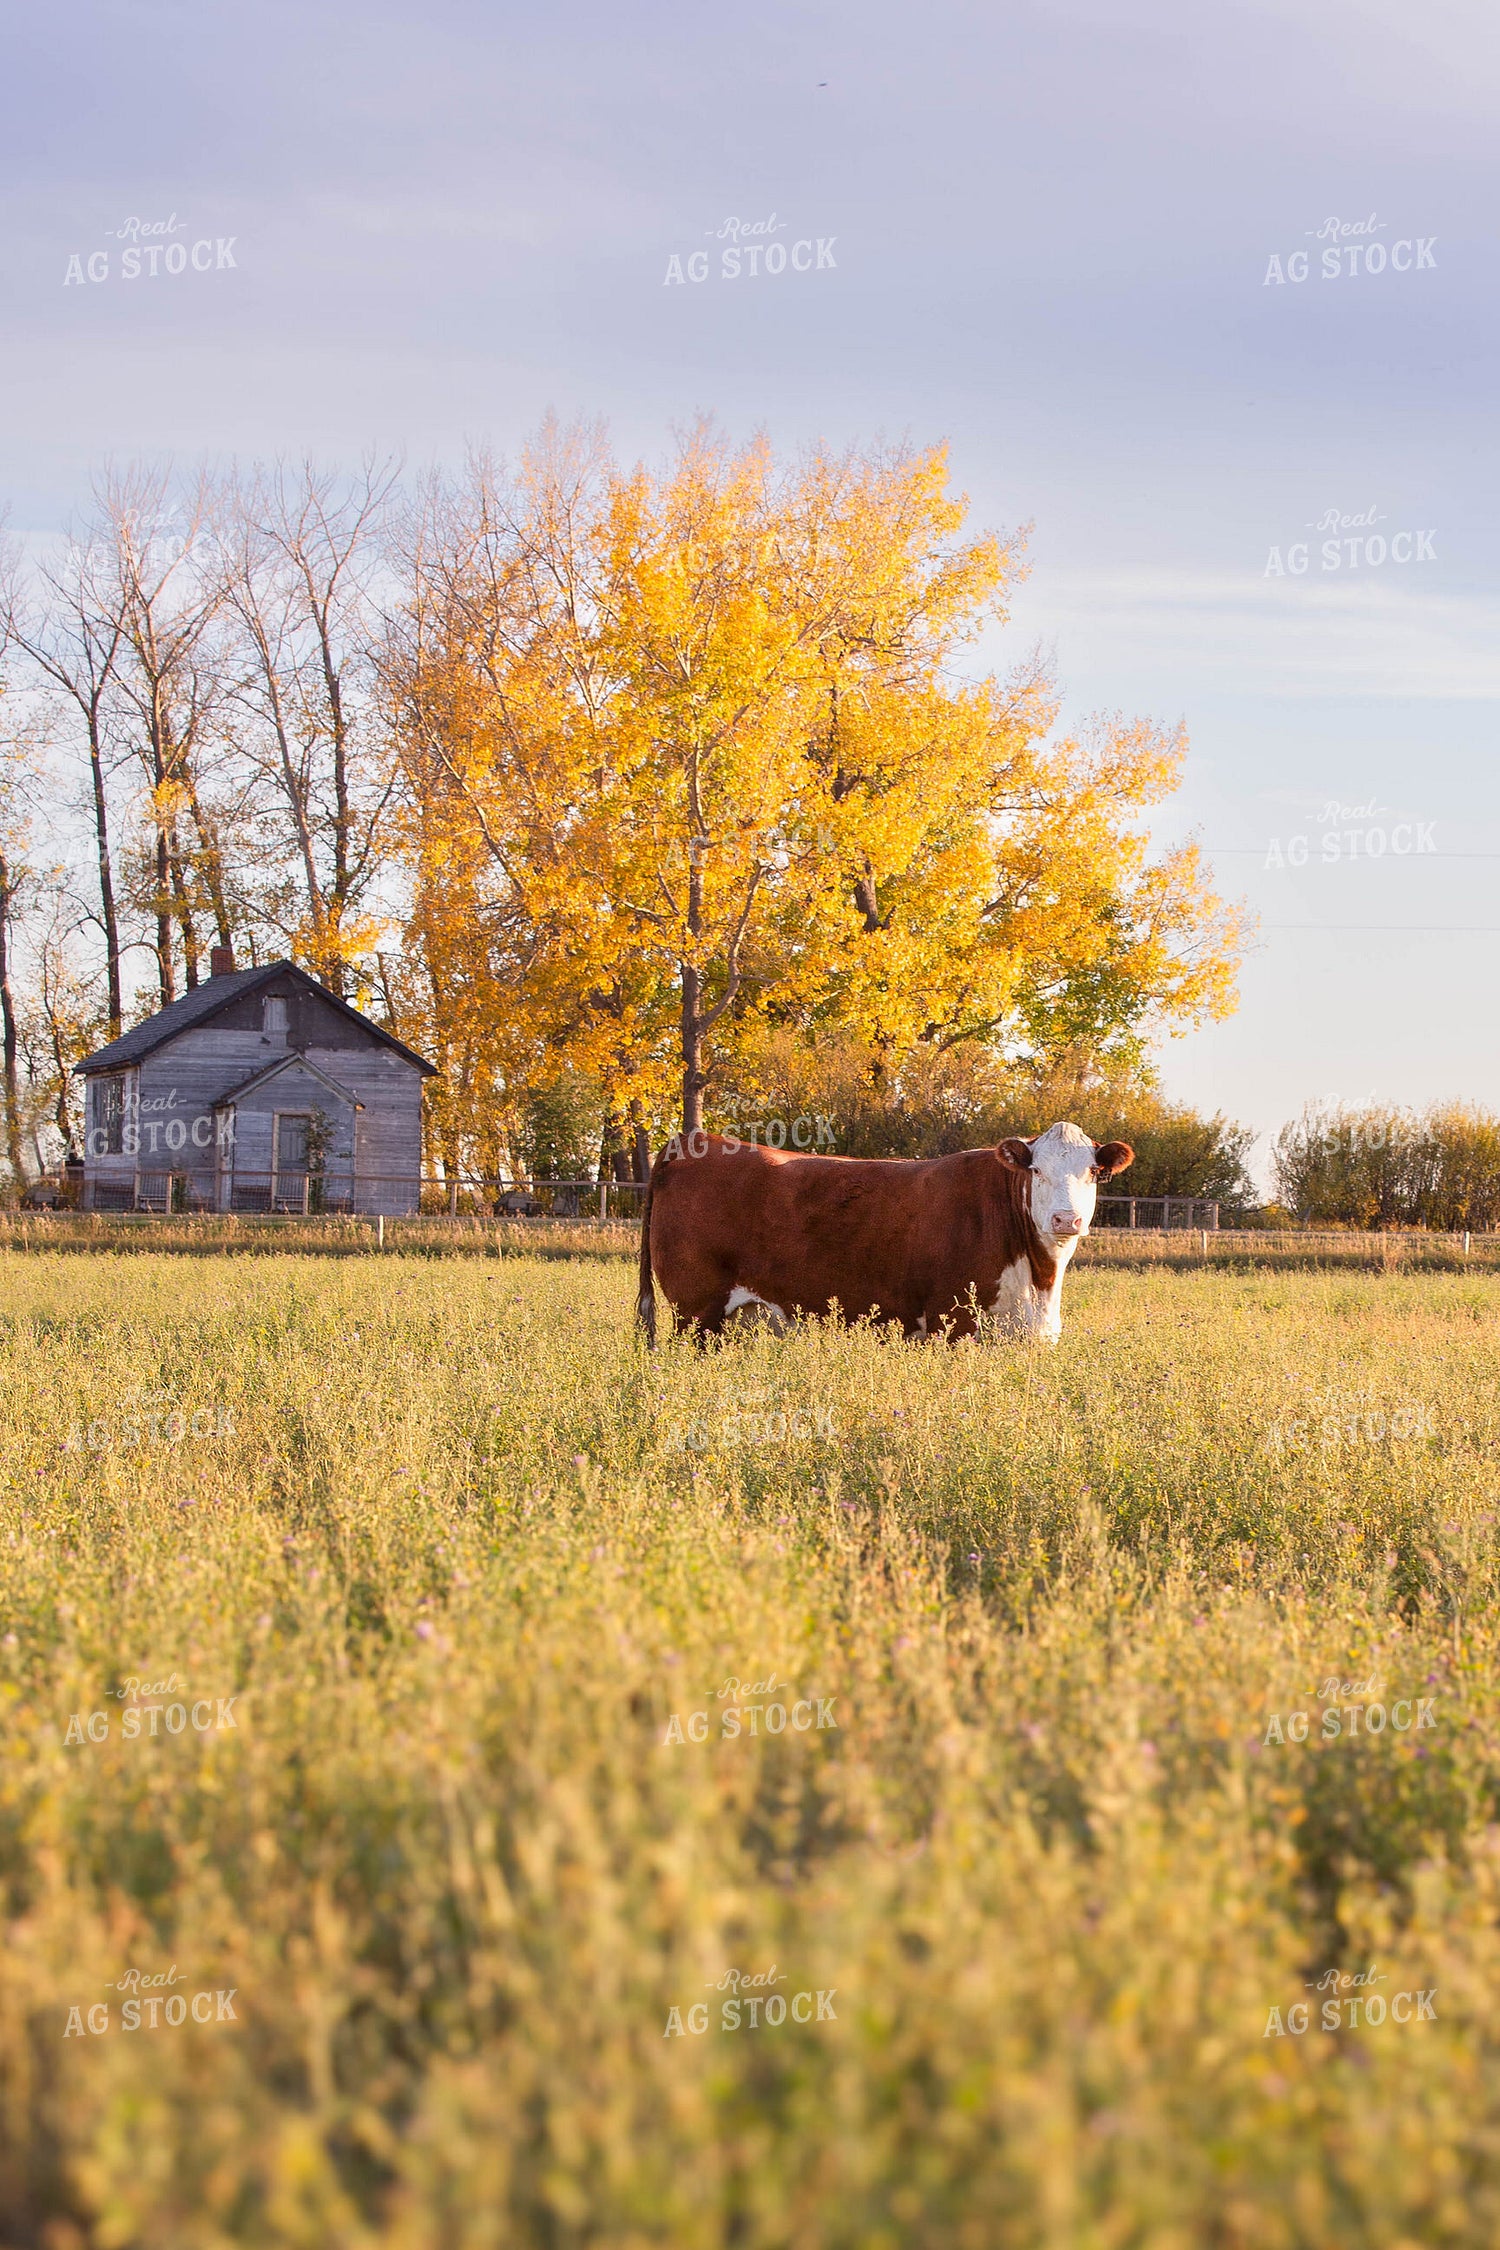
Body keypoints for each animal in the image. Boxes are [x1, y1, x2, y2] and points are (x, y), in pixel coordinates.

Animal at [636, 1122, 1133, 1347]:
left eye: (1093, 1172)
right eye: (1037, 1171)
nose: (1066, 1220)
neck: (1040, 1278)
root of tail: (693, 1143)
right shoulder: (952, 1324)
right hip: (696, 1312)